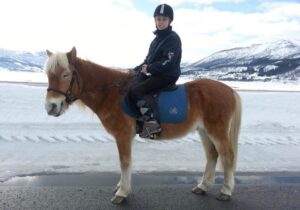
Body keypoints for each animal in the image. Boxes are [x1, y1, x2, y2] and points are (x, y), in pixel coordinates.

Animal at [44, 46, 241, 204]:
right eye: (48, 75)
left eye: (66, 74)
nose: (50, 107)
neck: (112, 93)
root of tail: (230, 90)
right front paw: (120, 187)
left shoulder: (123, 135)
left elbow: (125, 162)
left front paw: (122, 192)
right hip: (204, 131)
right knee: (212, 155)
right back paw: (203, 186)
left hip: (217, 131)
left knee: (227, 156)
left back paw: (226, 191)